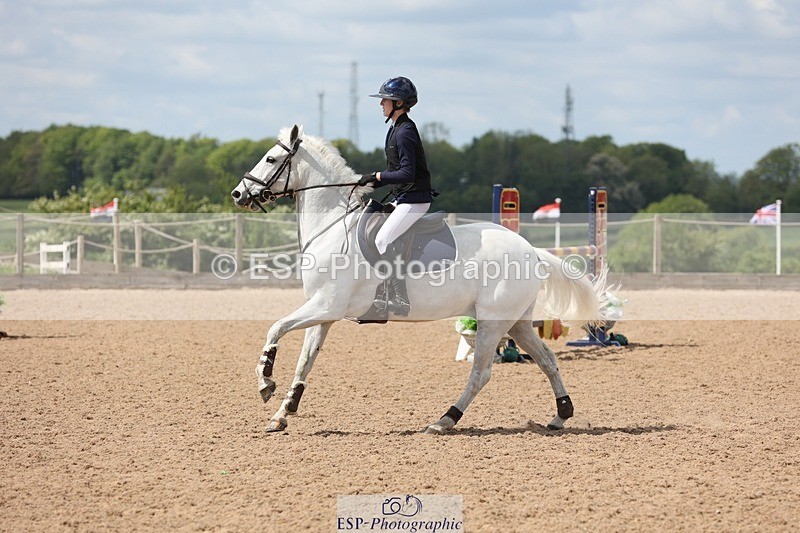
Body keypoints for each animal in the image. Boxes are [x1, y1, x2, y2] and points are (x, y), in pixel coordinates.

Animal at [231, 125, 608, 435]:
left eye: (271, 158)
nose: (238, 194)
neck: (333, 227)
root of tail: (532, 250)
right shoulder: (323, 312)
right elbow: (304, 363)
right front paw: (282, 414)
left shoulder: (325, 305)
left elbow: (275, 328)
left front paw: (265, 383)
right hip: (516, 322)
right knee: (547, 360)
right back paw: (560, 415)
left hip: (492, 322)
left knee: (481, 373)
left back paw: (444, 420)